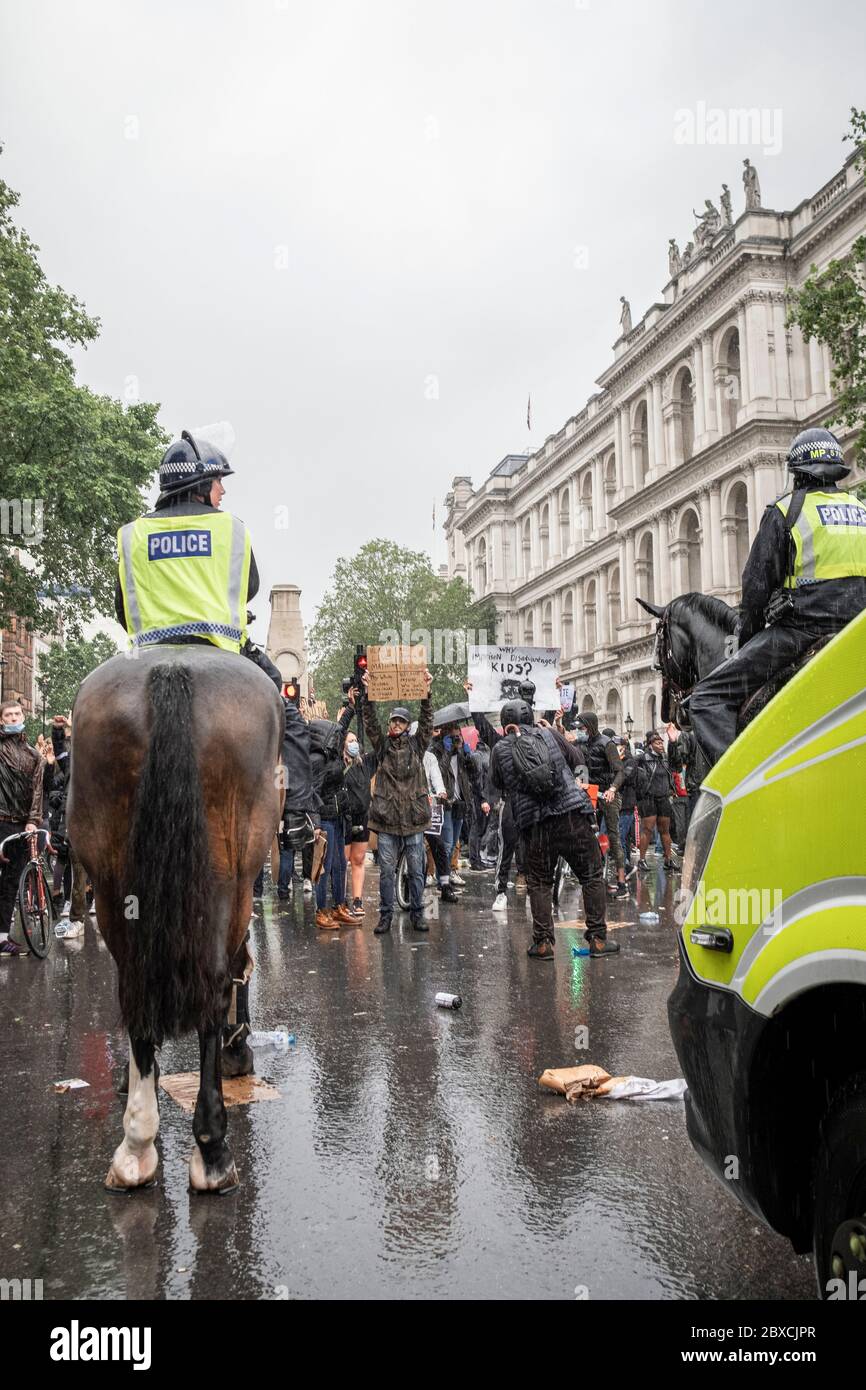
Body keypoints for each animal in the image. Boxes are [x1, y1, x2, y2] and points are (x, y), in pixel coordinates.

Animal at [70, 644, 284, 1189]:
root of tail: (172, 668)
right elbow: (238, 972)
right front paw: (236, 1049)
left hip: (113, 887)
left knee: (136, 992)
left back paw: (137, 1143)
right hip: (232, 875)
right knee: (214, 985)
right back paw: (211, 1147)